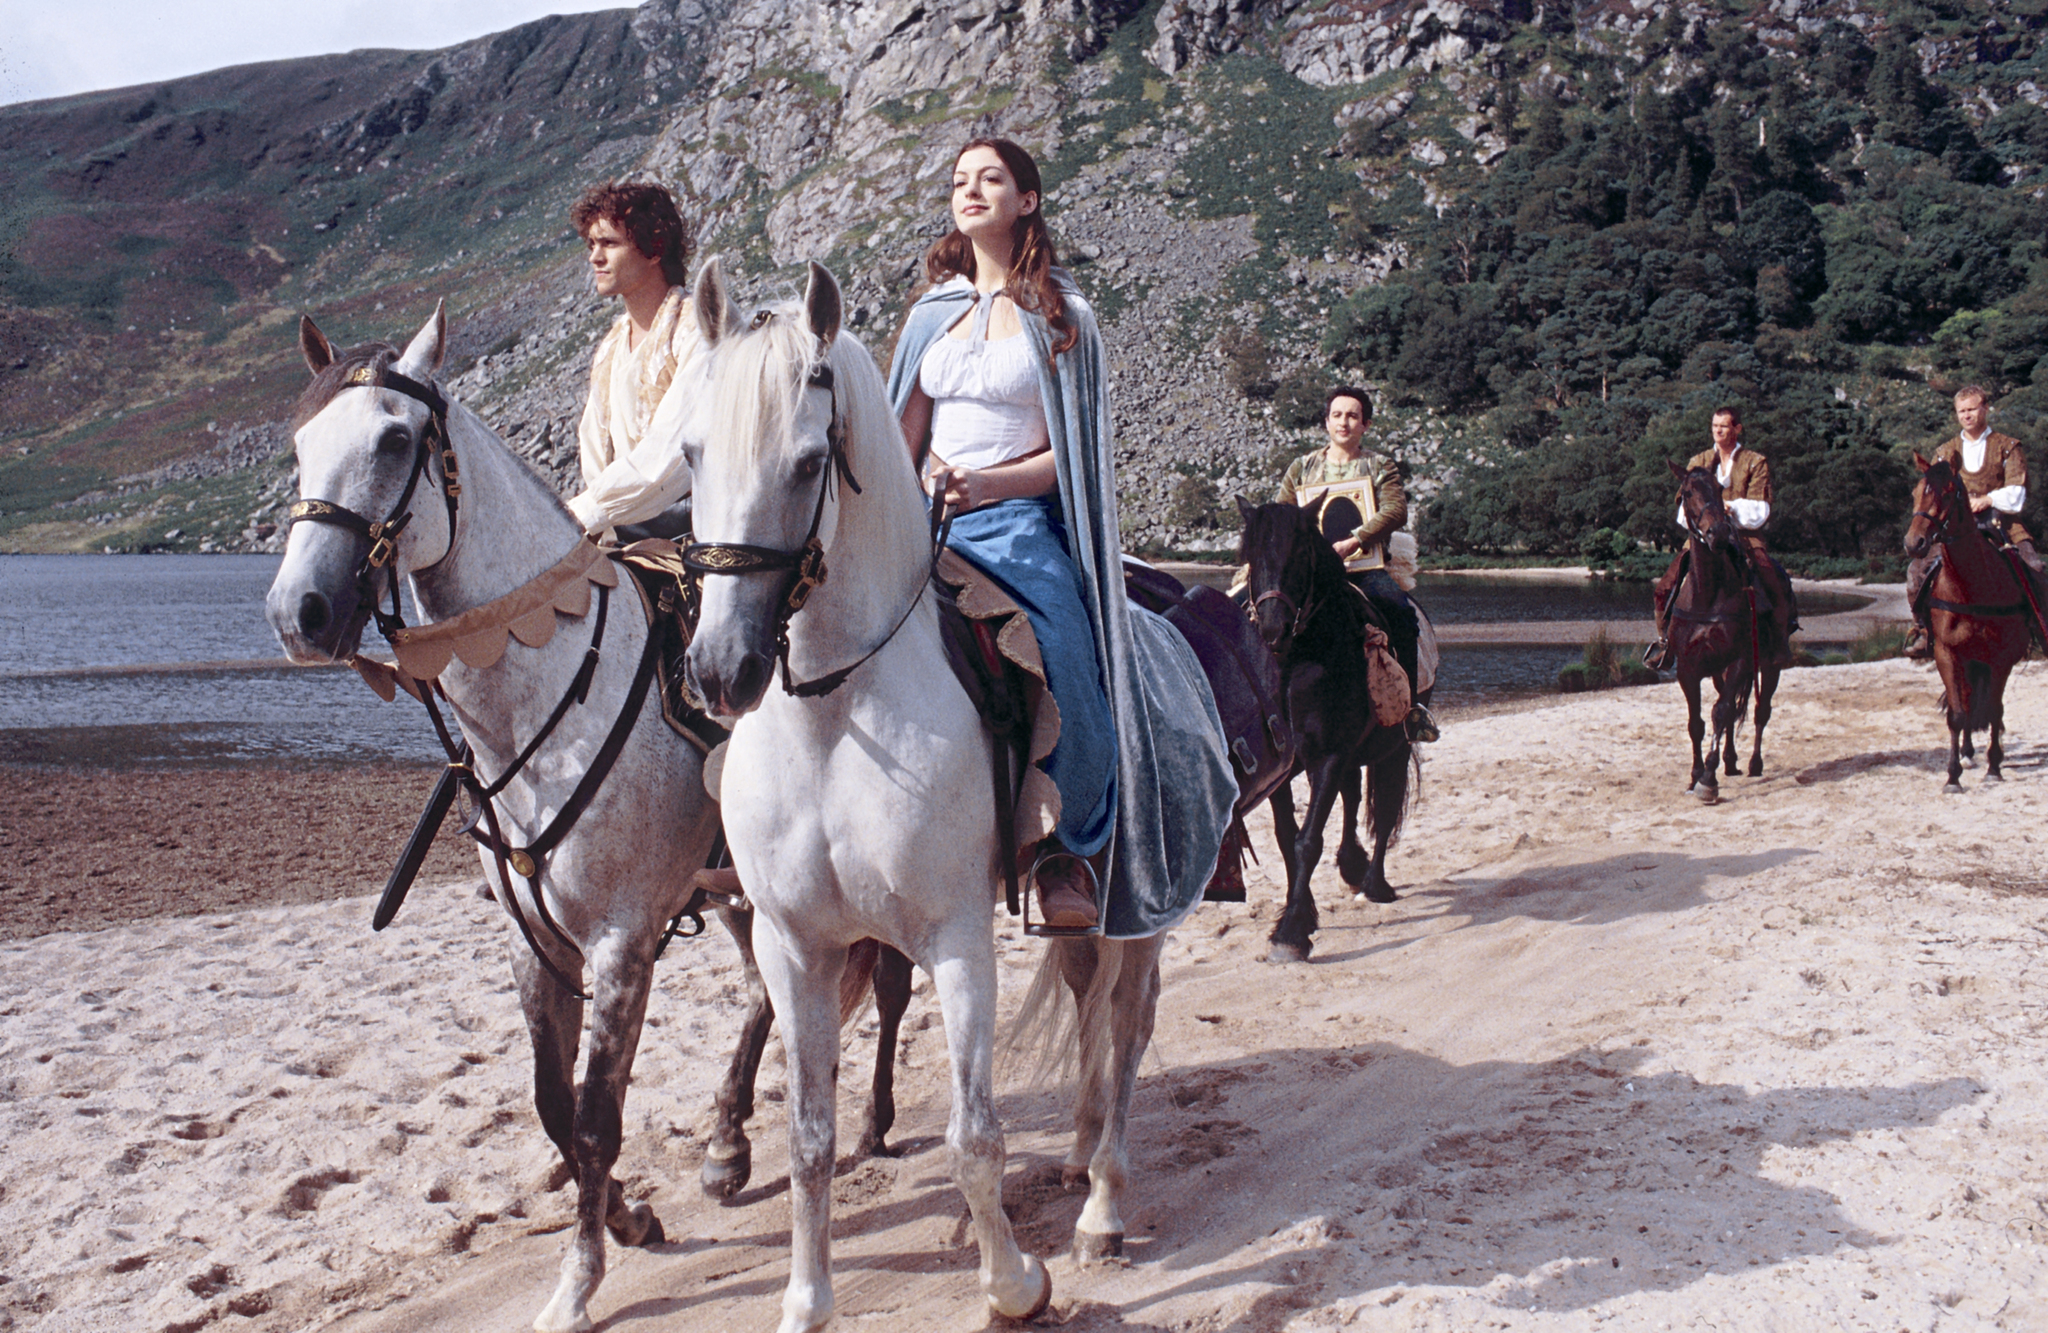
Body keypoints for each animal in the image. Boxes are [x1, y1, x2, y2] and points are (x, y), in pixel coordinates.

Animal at [266, 305, 720, 1333]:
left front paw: (578, 1282)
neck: (547, 690)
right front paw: (629, 1217)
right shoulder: (534, 941)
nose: (298, 612)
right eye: (299, 446)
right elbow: (556, 1109)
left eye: (396, 439)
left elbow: (595, 1117)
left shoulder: (621, 943)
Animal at [684, 264, 1179, 1333]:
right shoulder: (795, 947)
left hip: (1139, 903)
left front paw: (1013, 1284)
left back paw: (1104, 1205)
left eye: (807, 463)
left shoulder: (956, 934)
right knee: (1090, 1006)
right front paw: (807, 1301)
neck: (836, 712)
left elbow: (974, 1137)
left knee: (1127, 1024)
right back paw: (1079, 1159)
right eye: (692, 454)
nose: (721, 670)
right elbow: (811, 1142)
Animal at [1236, 505, 1417, 966]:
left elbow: (1307, 840)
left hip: (1396, 747)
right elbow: (1287, 838)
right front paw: (1301, 913)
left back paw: (1375, 885)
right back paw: (1352, 866)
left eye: (1302, 554)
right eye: (1249, 554)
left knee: (1384, 810)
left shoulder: (1330, 754)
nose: (1273, 629)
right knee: (1353, 798)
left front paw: (1291, 934)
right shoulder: (1284, 769)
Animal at [1671, 464, 1785, 802]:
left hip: (1770, 665)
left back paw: (1753, 763)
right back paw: (1731, 761)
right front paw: (1695, 775)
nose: (1719, 534)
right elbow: (1697, 722)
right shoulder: (1688, 667)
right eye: (1687, 493)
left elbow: (1721, 713)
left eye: (1720, 490)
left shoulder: (1740, 661)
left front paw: (1708, 779)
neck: (1708, 595)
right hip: (1718, 671)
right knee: (1733, 706)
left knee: (1759, 711)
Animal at [1892, 458, 2039, 794]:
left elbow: (1995, 709)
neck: (1971, 585)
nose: (1914, 543)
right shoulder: (1947, 654)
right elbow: (1957, 715)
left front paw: (1994, 767)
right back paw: (1968, 752)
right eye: (1916, 492)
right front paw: (1952, 776)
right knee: (1969, 700)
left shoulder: (2001, 658)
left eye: (1948, 493)